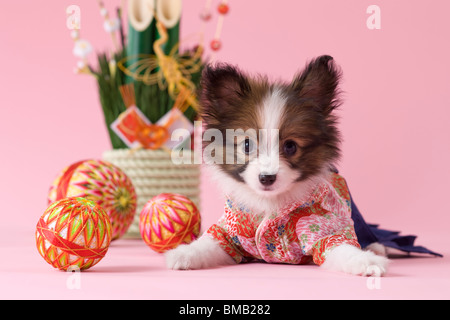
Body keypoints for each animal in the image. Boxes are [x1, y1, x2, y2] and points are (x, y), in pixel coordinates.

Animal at [163, 55, 388, 276]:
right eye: (247, 144)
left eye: (290, 146)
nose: (267, 178)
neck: (270, 202)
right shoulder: (228, 233)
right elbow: (208, 243)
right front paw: (184, 253)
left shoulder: (320, 229)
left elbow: (342, 247)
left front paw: (366, 260)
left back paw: (376, 247)